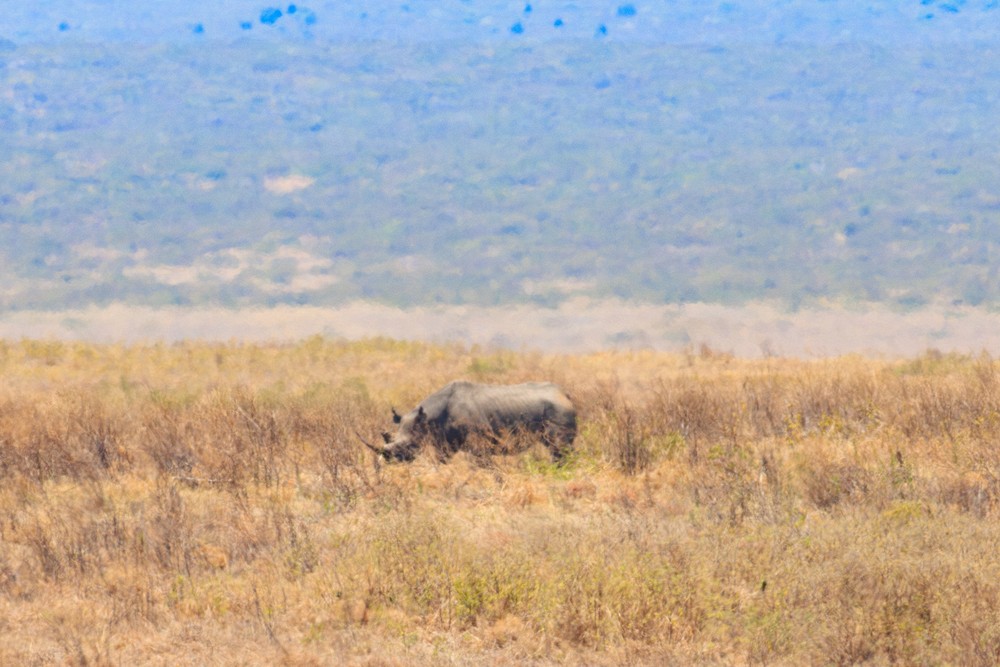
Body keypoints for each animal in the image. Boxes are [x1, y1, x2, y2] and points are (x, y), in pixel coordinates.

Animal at [361, 381, 577, 463]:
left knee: (559, 449)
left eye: (408, 445)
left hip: (558, 411)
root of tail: (565, 395)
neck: (429, 417)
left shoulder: (479, 445)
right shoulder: (444, 444)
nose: (390, 460)